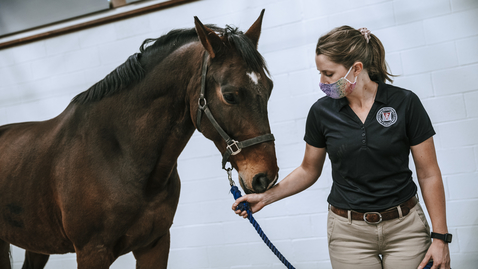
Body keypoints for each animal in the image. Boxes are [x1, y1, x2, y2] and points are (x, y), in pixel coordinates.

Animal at [0, 10, 278, 268]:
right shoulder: (92, 252)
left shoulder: (155, 244)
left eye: (270, 88)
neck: (120, 156)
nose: (266, 177)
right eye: (230, 95)